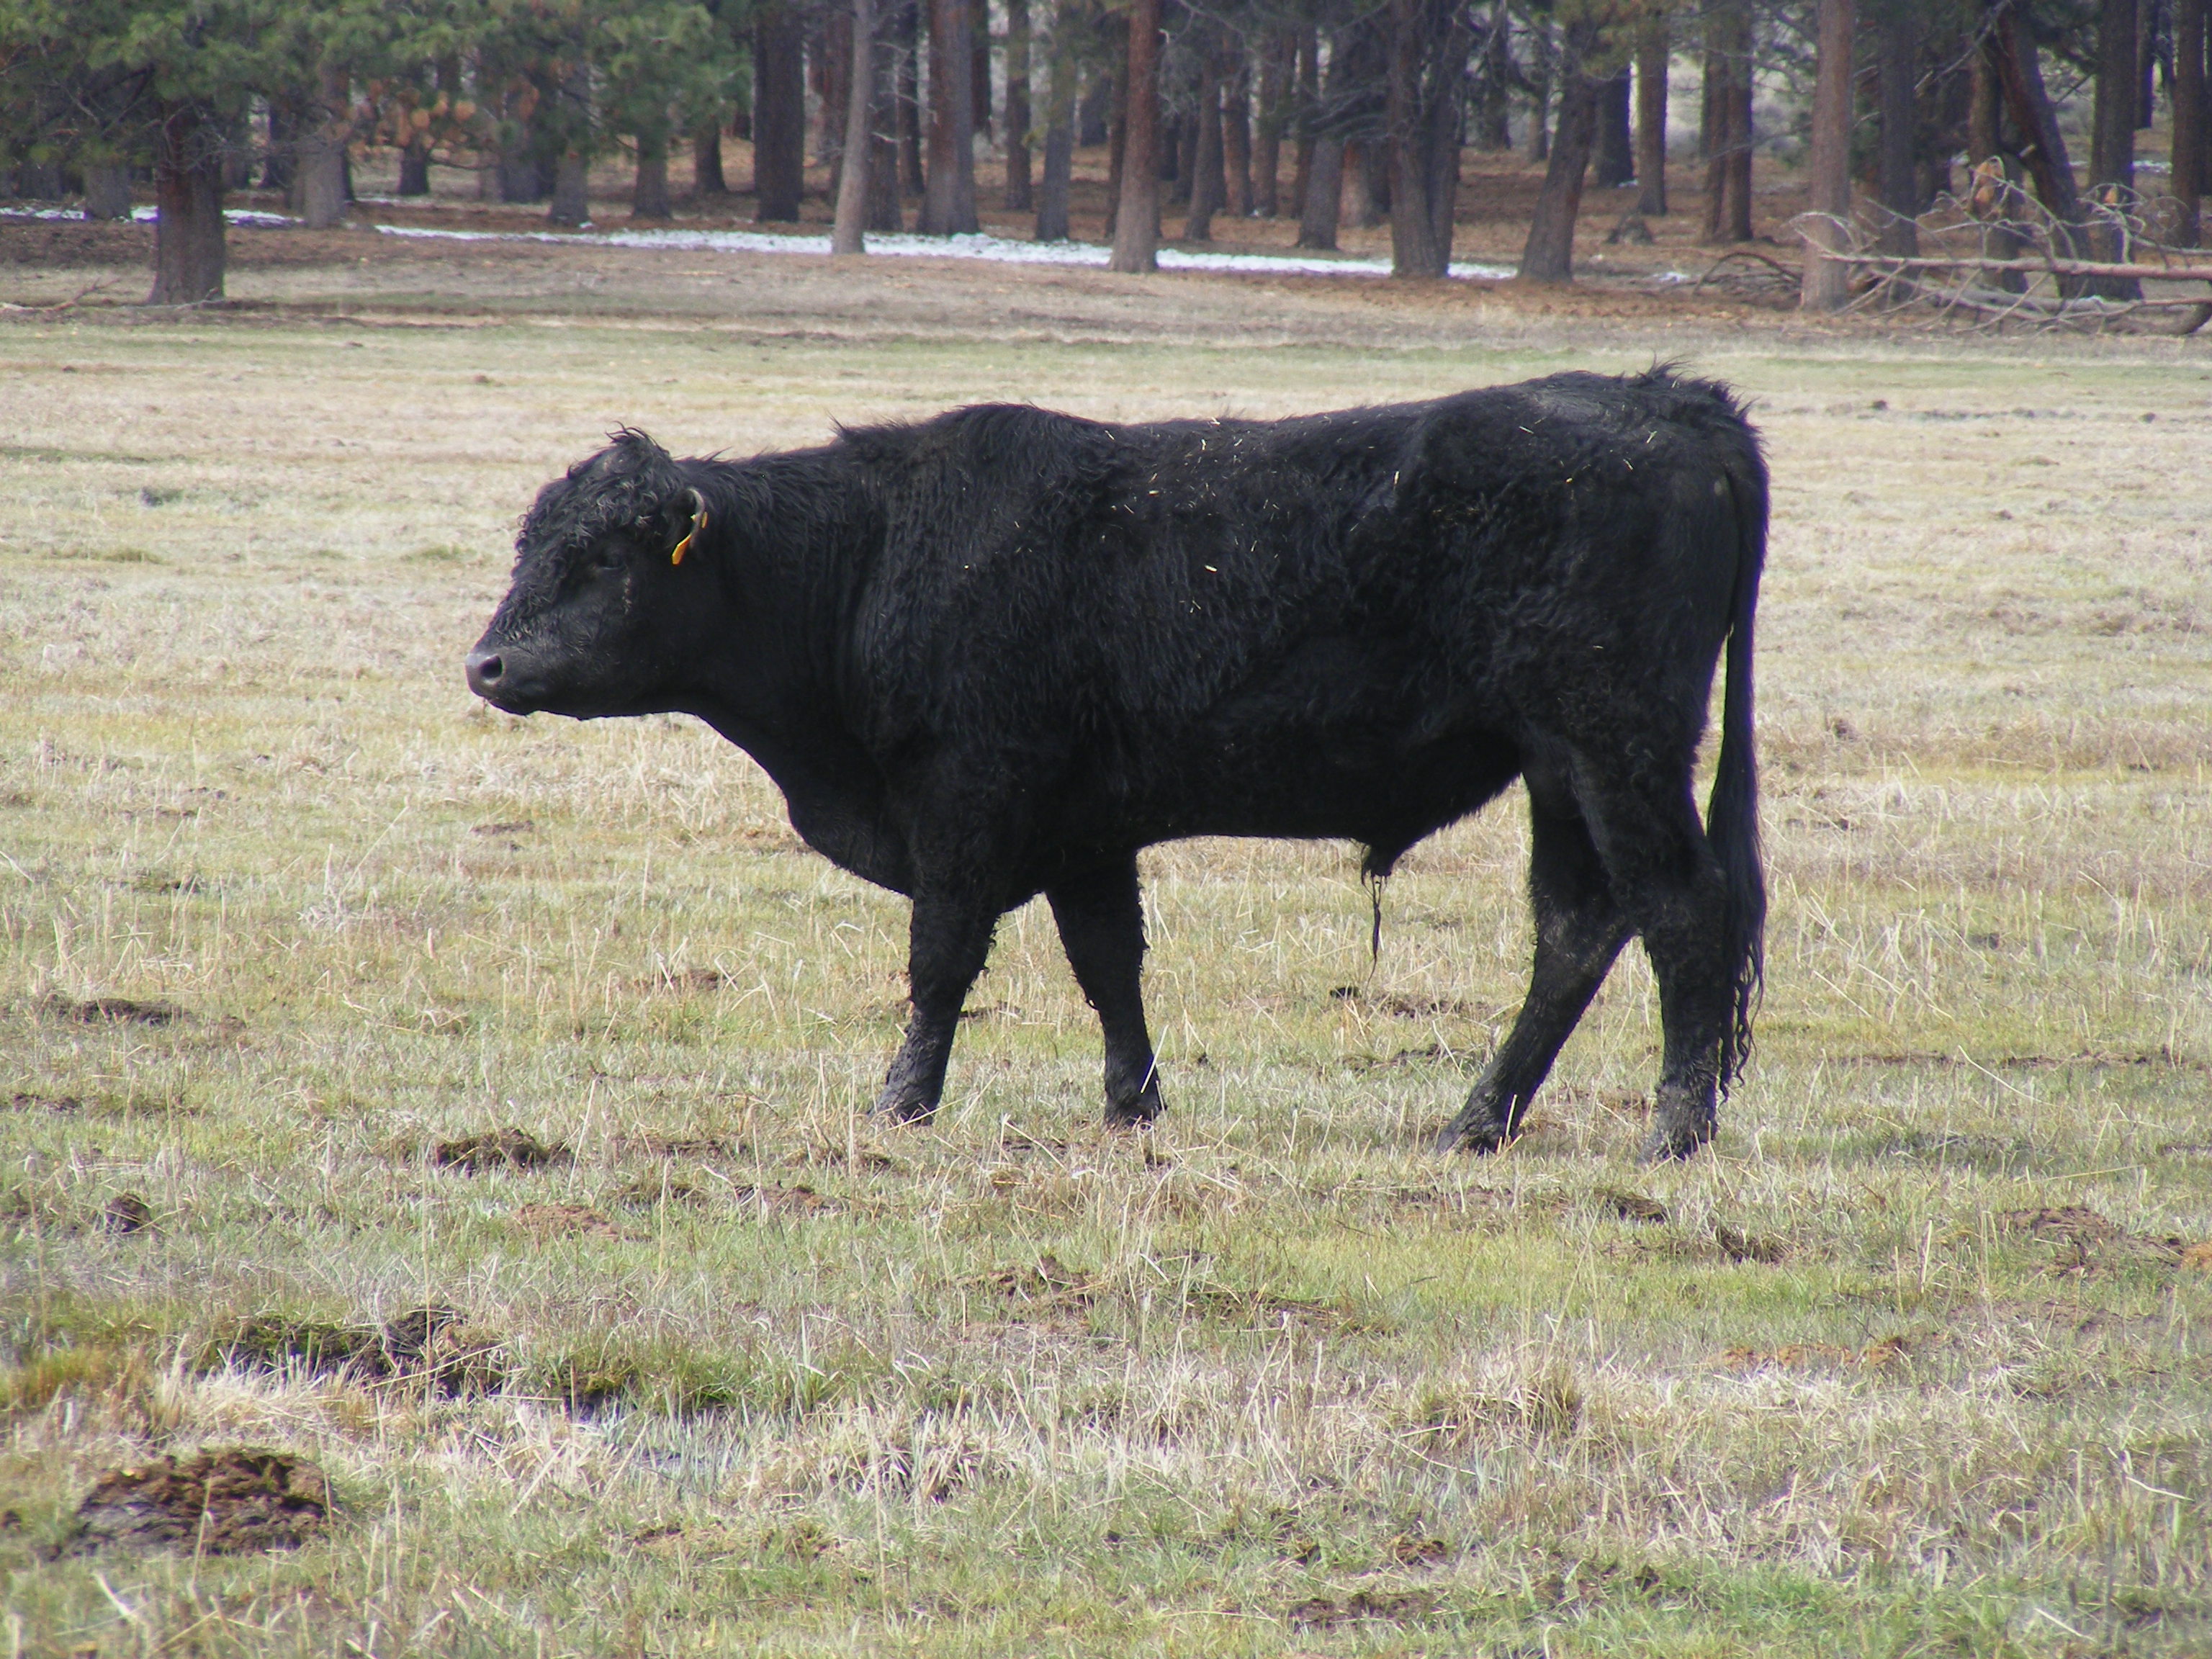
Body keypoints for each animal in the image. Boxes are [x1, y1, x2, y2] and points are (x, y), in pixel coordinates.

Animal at [466, 368, 1766, 1161]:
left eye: (601, 558)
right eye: (532, 545)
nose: (486, 663)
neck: (872, 554)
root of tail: (1666, 398)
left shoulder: (968, 805)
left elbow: (940, 965)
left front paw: (900, 1106)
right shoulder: (1084, 832)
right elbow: (1109, 968)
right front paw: (1131, 1107)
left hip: (1614, 746)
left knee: (1680, 908)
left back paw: (1673, 1129)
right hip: (1558, 768)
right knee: (1577, 927)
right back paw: (1475, 1122)